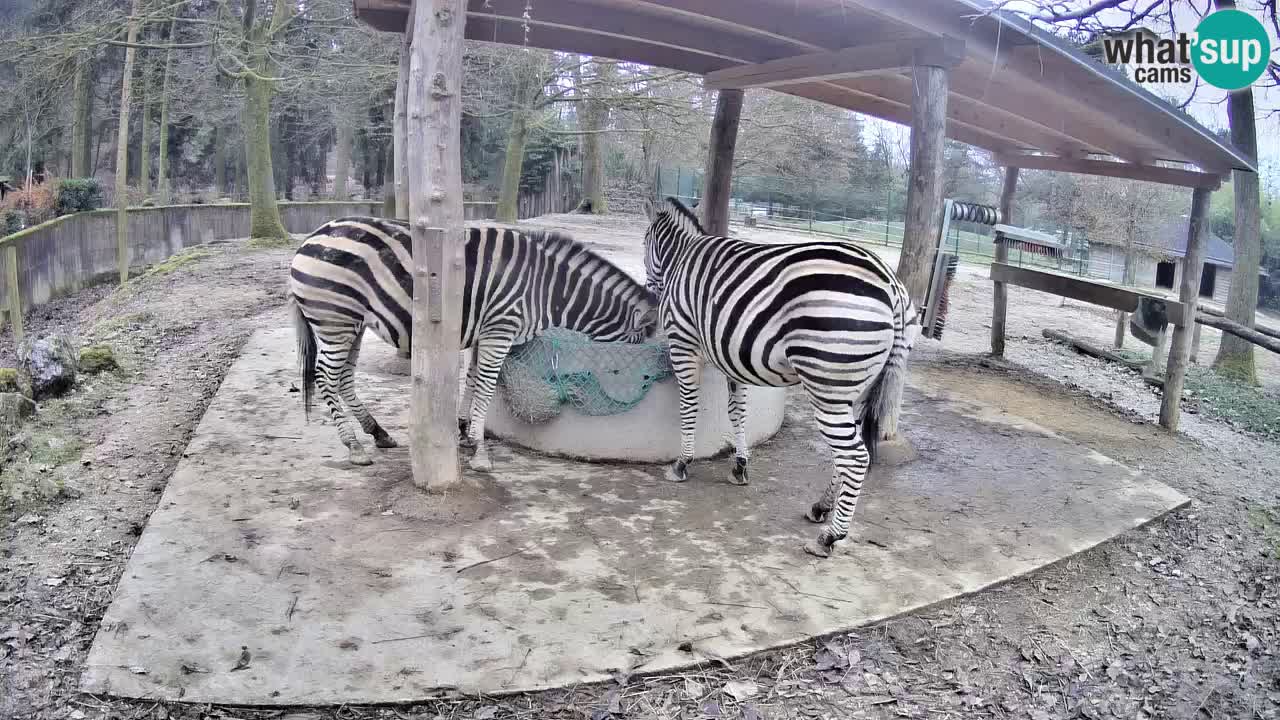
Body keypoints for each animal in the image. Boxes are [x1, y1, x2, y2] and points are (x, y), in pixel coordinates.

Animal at [288, 215, 658, 471]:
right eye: (631, 356)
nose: (642, 390)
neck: (547, 289)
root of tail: (310, 238)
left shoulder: (487, 332)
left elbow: (472, 381)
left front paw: (464, 431)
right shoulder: (500, 330)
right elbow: (486, 386)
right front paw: (480, 450)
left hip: (353, 323)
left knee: (344, 378)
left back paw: (377, 432)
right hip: (335, 319)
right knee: (325, 377)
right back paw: (353, 446)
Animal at [641, 197, 919, 559]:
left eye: (644, 243)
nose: (649, 298)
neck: (681, 257)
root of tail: (891, 284)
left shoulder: (682, 342)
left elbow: (689, 406)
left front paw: (681, 464)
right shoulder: (732, 356)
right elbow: (736, 412)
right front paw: (739, 466)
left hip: (827, 387)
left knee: (856, 458)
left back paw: (829, 537)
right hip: (854, 389)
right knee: (847, 455)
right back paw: (820, 507)